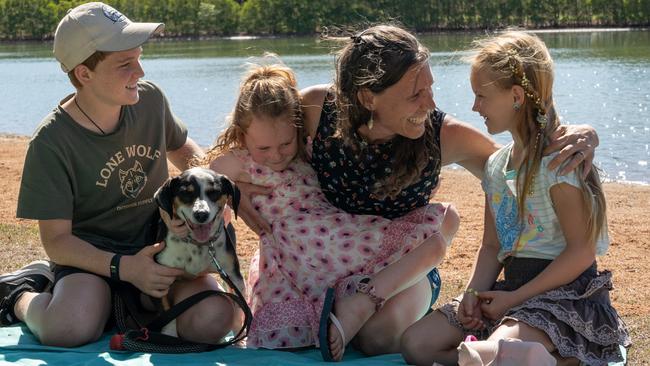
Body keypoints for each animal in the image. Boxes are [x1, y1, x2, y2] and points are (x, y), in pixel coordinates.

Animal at [152, 167, 246, 336]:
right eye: (185, 193)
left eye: (214, 192)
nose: (201, 214)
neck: (198, 245)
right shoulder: (159, 282)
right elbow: (168, 315)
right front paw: (170, 335)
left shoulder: (235, 277)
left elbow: (238, 308)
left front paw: (240, 334)